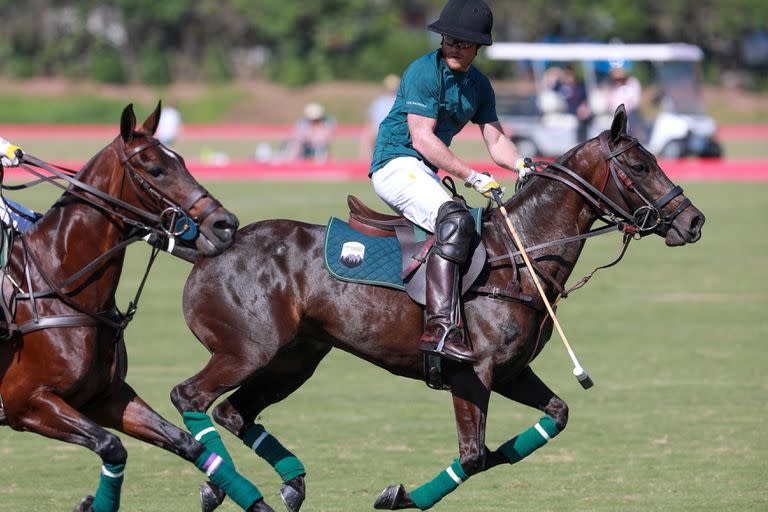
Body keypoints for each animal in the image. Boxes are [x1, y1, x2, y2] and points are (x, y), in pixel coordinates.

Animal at [0, 105, 276, 512]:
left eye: (181, 161)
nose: (224, 224)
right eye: (156, 169)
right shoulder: (27, 401)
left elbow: (186, 443)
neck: (59, 286)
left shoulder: (106, 397)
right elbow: (112, 445)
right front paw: (89, 504)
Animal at [174, 106, 708, 510]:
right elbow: (473, 456)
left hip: (294, 359)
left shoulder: (511, 372)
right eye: (639, 166)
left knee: (235, 413)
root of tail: (208, 249)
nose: (694, 221)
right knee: (190, 397)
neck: (518, 258)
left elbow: (545, 422)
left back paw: (276, 483)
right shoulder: (472, 373)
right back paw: (221, 482)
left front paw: (398, 494)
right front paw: (399, 496)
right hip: (247, 350)